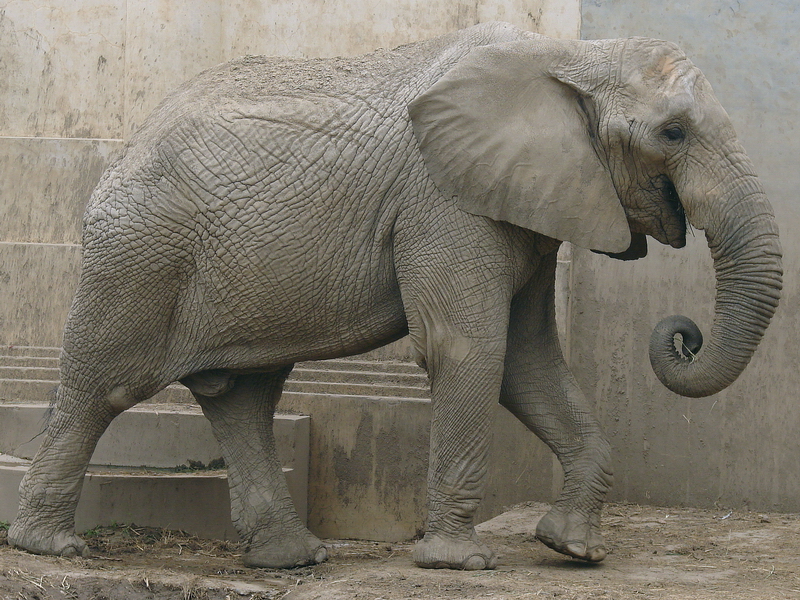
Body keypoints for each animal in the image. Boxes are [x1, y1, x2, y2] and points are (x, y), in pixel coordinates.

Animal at [9, 22, 782, 570]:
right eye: (672, 133)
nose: (682, 333)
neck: (570, 52)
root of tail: (124, 149)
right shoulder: (442, 200)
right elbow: (471, 348)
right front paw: (461, 563)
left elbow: (528, 362)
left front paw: (573, 549)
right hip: (138, 254)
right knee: (105, 383)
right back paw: (49, 548)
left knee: (244, 395)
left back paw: (293, 560)